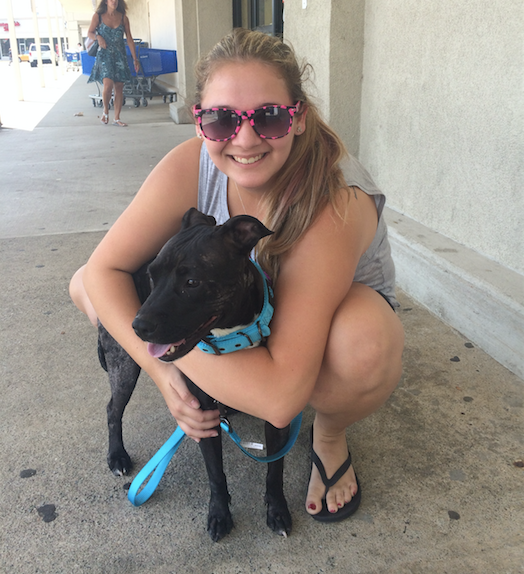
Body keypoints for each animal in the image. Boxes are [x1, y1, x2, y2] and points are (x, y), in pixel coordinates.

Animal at [96, 209, 292, 544]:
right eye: (153, 275)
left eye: (192, 282)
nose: (137, 326)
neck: (234, 335)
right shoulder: (202, 414)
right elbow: (215, 473)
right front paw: (220, 514)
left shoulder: (276, 411)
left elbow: (275, 470)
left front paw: (277, 510)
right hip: (124, 365)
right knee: (113, 409)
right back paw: (117, 456)